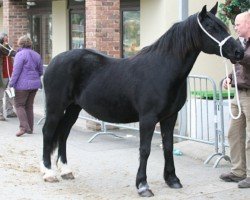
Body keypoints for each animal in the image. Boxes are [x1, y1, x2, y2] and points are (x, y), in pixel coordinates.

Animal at [41, 3, 244, 198]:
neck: (162, 69)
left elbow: (168, 146)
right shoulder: (148, 118)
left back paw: (66, 170)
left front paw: (172, 179)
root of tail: (53, 61)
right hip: (55, 108)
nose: (239, 51)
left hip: (73, 108)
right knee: (48, 132)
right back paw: (49, 172)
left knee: (63, 134)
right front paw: (143, 186)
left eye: (224, 26)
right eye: (211, 27)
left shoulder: (170, 116)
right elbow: (145, 150)